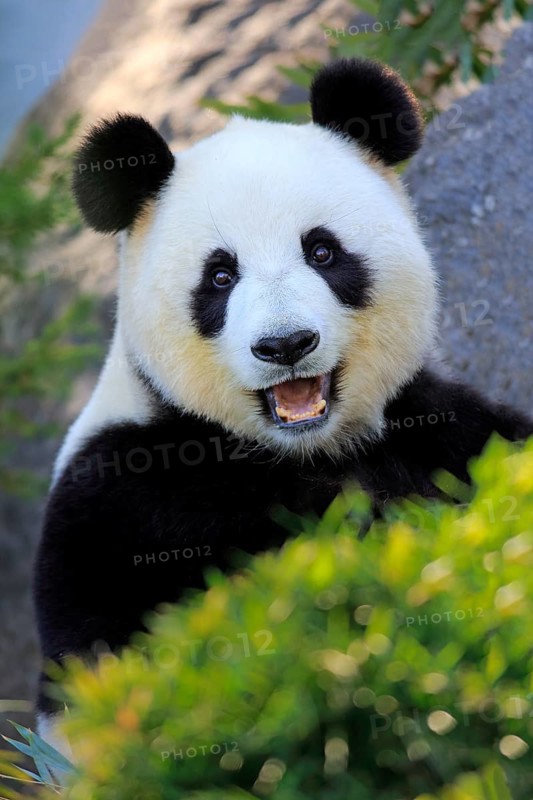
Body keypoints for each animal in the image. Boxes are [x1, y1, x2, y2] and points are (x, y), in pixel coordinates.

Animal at [34, 58, 532, 748]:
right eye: (220, 276)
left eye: (321, 250)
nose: (286, 344)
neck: (302, 448)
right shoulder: (124, 497)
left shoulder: (431, 421)